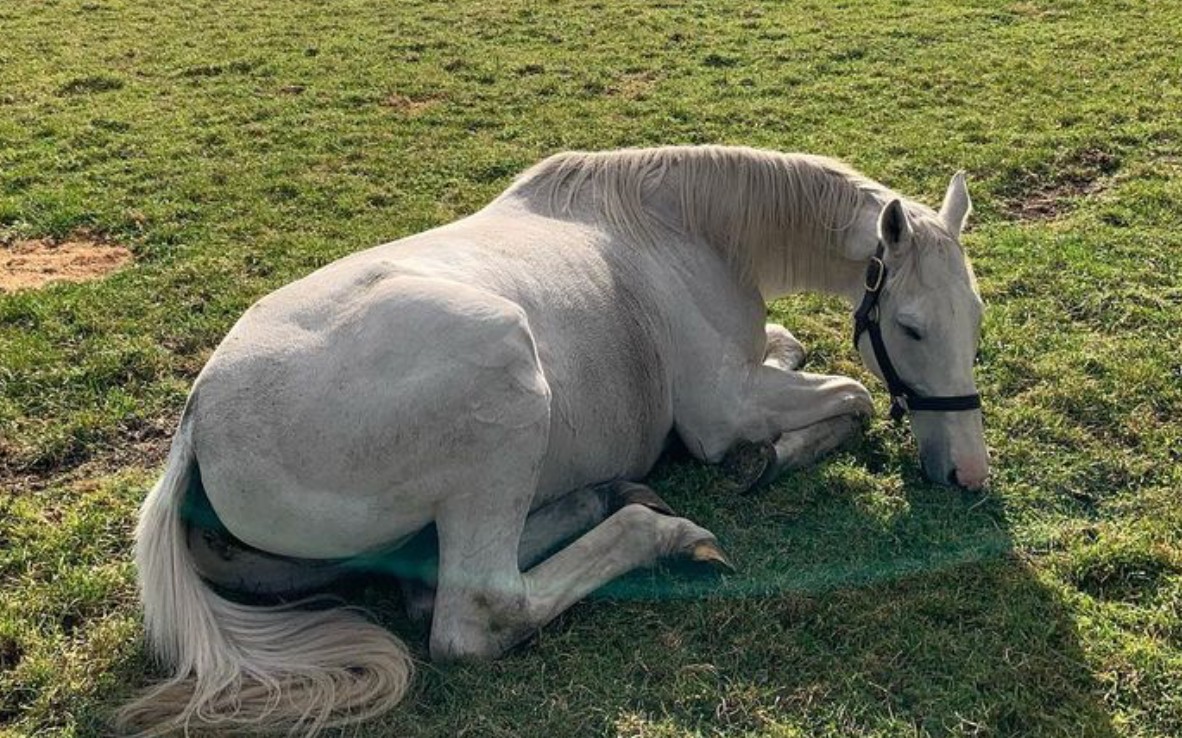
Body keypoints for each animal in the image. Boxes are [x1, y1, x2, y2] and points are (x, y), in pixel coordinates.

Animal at [119, 147, 988, 733]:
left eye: (977, 317)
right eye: (912, 327)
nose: (970, 475)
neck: (685, 229)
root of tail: (197, 424)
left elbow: (799, 351)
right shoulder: (725, 407)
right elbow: (854, 397)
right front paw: (764, 459)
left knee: (429, 575)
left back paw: (605, 494)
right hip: (504, 373)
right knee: (480, 610)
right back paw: (662, 529)